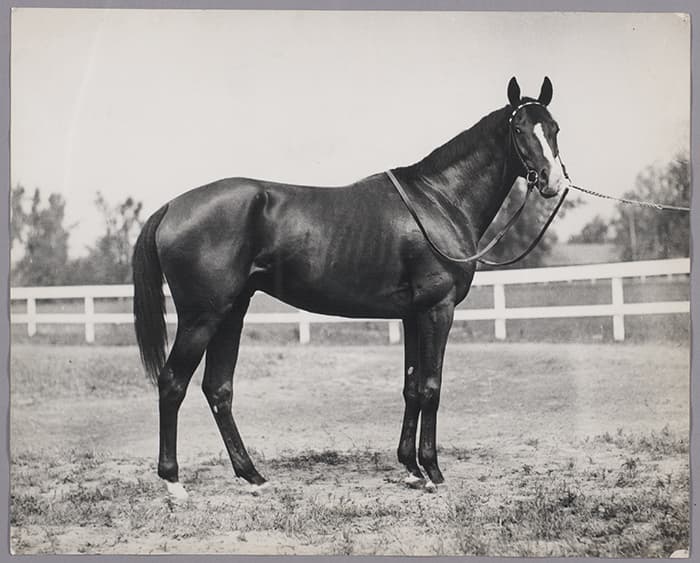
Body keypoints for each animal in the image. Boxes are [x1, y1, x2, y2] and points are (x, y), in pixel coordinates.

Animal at [132, 76, 569, 498]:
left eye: (554, 128)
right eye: (518, 128)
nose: (554, 182)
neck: (439, 200)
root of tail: (171, 207)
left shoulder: (412, 315)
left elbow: (412, 387)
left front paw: (411, 469)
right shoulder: (437, 309)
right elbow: (432, 386)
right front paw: (432, 471)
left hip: (231, 313)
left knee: (218, 389)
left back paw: (253, 476)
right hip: (202, 318)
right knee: (173, 384)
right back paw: (174, 482)